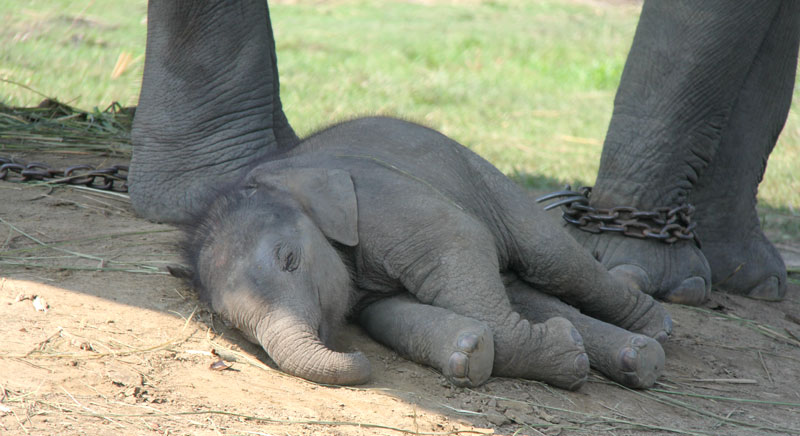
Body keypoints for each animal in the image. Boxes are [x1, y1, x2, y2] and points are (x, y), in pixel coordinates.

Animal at [180, 115, 668, 388]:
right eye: (230, 322)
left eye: (289, 260)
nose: (353, 354)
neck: (277, 173)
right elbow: (389, 312)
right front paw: (474, 350)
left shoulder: (383, 200)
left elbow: (461, 239)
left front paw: (558, 348)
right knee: (526, 291)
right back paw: (631, 357)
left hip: (484, 176)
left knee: (551, 259)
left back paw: (653, 329)